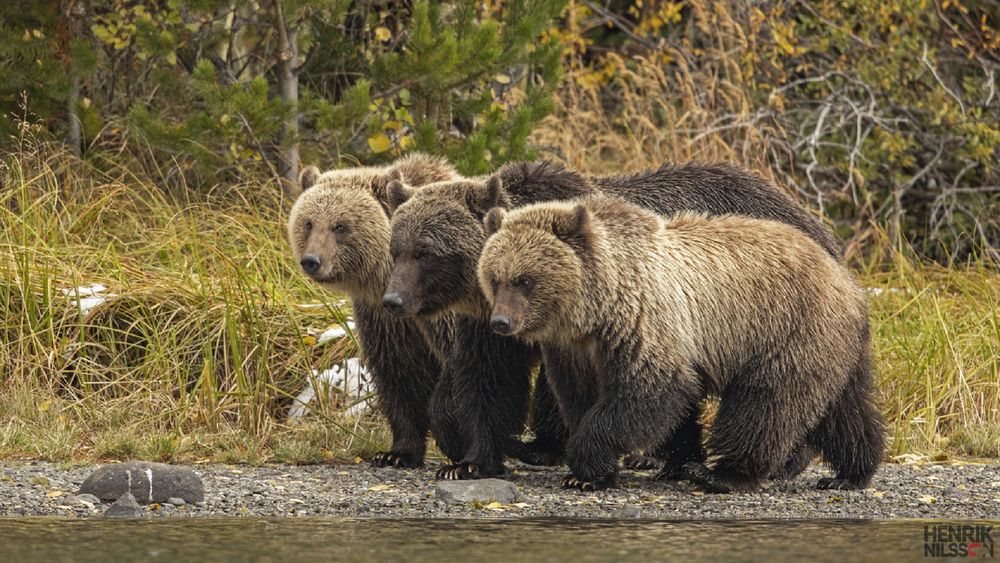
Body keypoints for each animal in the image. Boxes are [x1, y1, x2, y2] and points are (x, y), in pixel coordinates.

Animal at [382, 161, 844, 482]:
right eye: (396, 249)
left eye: (426, 251)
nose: (392, 299)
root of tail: (815, 223)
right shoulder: (490, 322)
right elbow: (486, 378)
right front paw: (469, 461)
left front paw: (546, 446)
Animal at [480, 197, 888, 494]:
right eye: (494, 277)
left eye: (524, 280)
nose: (500, 322)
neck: (595, 310)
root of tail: (847, 279)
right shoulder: (574, 351)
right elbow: (579, 397)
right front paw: (603, 468)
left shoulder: (644, 323)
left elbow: (651, 391)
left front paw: (584, 469)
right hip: (832, 344)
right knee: (847, 408)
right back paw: (849, 473)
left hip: (787, 330)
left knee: (766, 404)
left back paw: (722, 474)